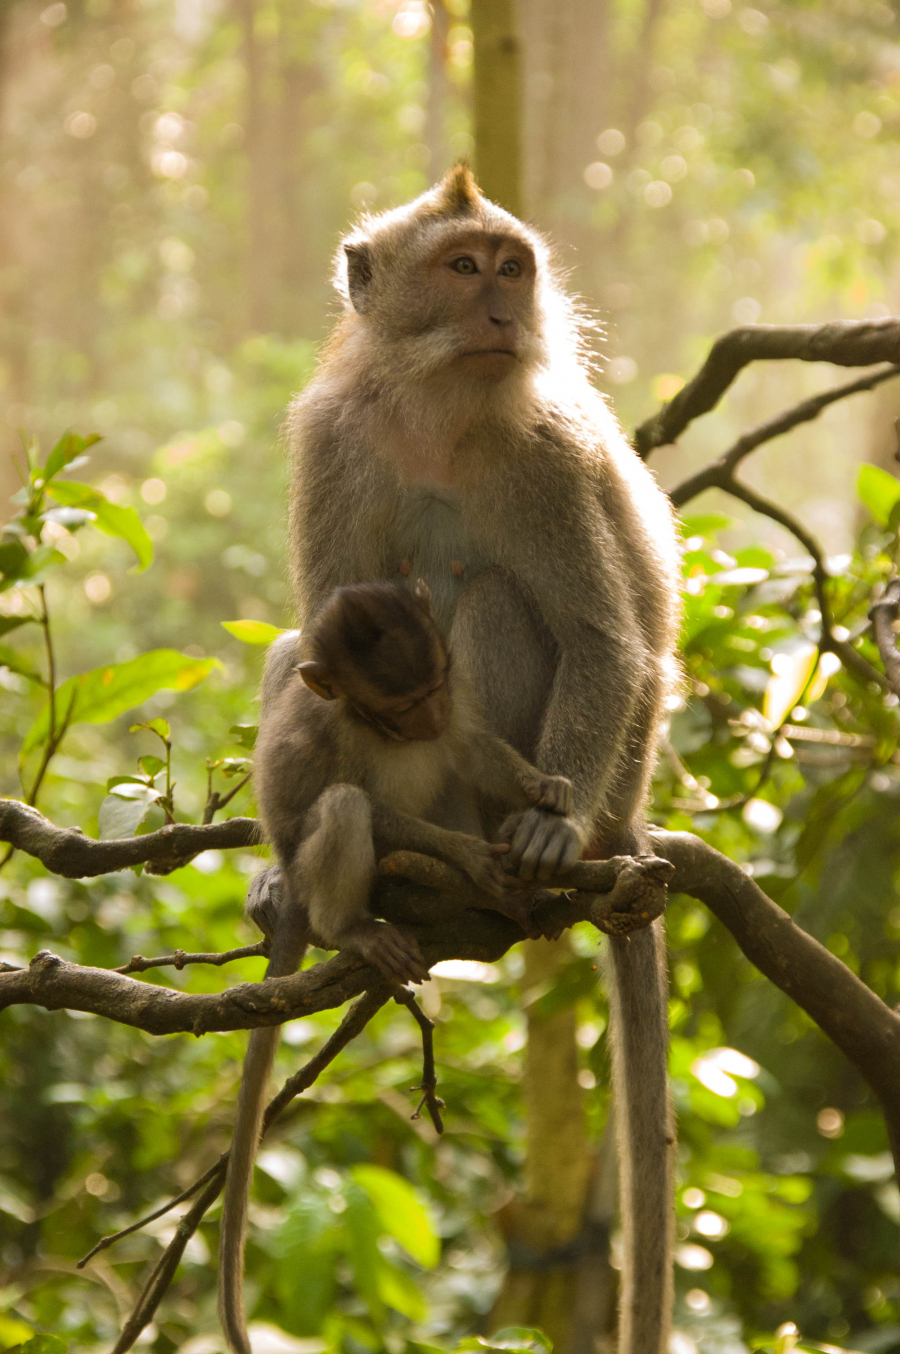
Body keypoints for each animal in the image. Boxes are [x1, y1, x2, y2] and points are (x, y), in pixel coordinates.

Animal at [217, 582, 571, 1354]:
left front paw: (545, 786)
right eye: (400, 705)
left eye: (435, 686)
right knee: (346, 809)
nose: (430, 717)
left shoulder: (458, 699)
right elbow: (371, 805)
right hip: (317, 875)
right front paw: (470, 857)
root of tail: (295, 890)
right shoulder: (342, 732)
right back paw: (358, 927)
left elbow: (472, 749)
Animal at [258, 166, 673, 1354]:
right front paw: (282, 867)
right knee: (303, 646)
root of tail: (632, 821)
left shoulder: (543, 455)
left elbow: (602, 639)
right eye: (461, 266)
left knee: (493, 598)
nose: (500, 310)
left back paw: (499, 854)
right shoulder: (334, 438)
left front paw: (548, 825)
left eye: (511, 268)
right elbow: (320, 634)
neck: (440, 409)